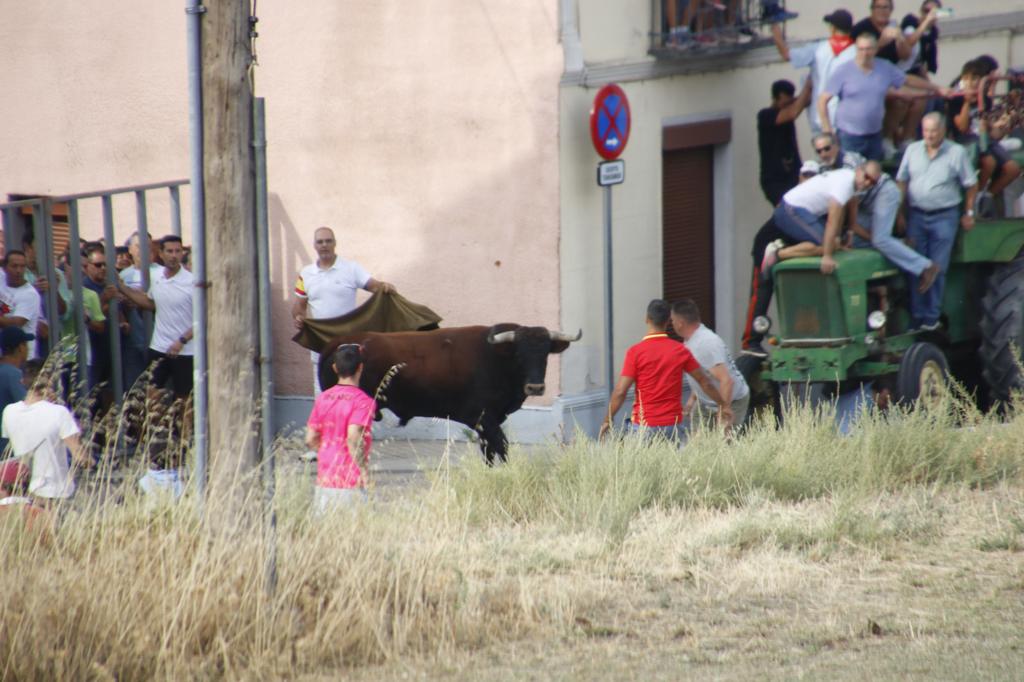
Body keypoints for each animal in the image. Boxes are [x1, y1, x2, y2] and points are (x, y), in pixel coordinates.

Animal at [315, 323, 581, 462]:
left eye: (545, 353)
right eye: (519, 354)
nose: (535, 387)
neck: (495, 358)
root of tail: (339, 342)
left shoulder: (487, 421)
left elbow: (489, 451)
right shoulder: (484, 417)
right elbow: (501, 447)